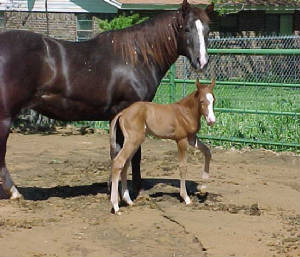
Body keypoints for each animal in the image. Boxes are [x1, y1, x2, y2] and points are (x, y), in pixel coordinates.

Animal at [1, 0, 214, 198]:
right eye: (186, 28)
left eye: (207, 30)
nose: (202, 62)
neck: (136, 57)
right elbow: (133, 155)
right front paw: (133, 190)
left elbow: (117, 152)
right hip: (4, 118)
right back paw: (14, 192)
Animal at [110, 79, 216, 213]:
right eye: (202, 101)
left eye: (213, 100)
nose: (211, 121)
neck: (185, 112)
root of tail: (123, 112)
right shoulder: (181, 140)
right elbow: (183, 167)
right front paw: (186, 198)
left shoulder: (192, 138)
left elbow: (207, 151)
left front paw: (204, 180)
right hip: (133, 140)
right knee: (118, 162)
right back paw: (116, 206)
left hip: (134, 142)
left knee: (125, 164)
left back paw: (128, 201)